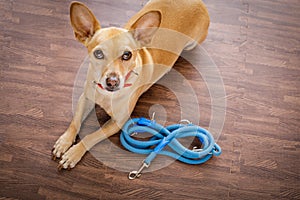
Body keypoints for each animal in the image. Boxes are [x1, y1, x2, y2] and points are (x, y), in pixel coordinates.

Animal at [51, 0, 209, 170]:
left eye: (127, 55)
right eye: (98, 54)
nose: (112, 81)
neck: (107, 95)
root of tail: (198, 2)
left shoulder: (118, 123)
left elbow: (90, 137)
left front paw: (74, 153)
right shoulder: (85, 98)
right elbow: (75, 122)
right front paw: (64, 142)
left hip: (192, 44)